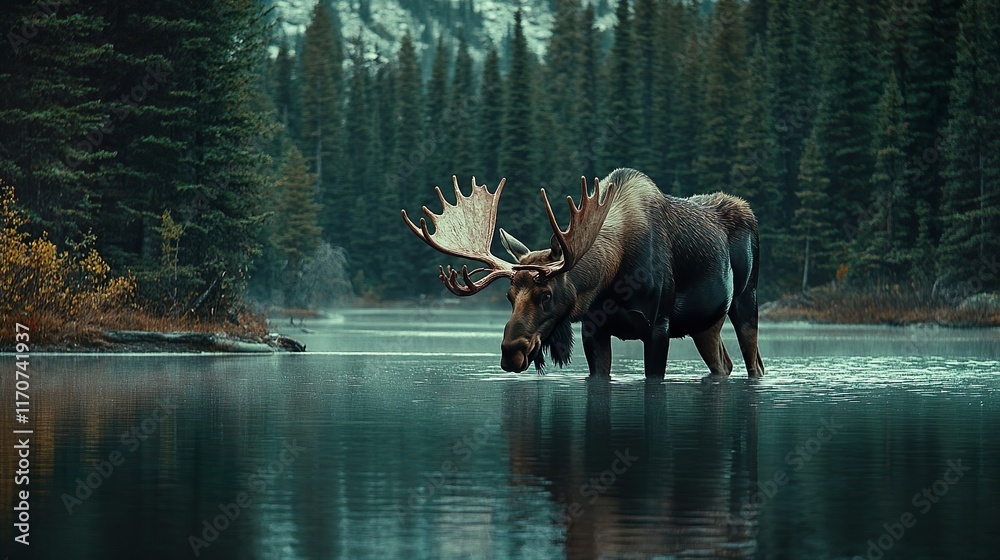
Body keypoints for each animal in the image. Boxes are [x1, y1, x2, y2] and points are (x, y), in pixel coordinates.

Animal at [401, 168, 764, 378]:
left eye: (546, 294)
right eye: (508, 295)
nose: (510, 352)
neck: (613, 281)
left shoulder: (658, 326)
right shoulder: (594, 330)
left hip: (746, 300)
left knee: (754, 363)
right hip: (705, 325)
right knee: (723, 364)